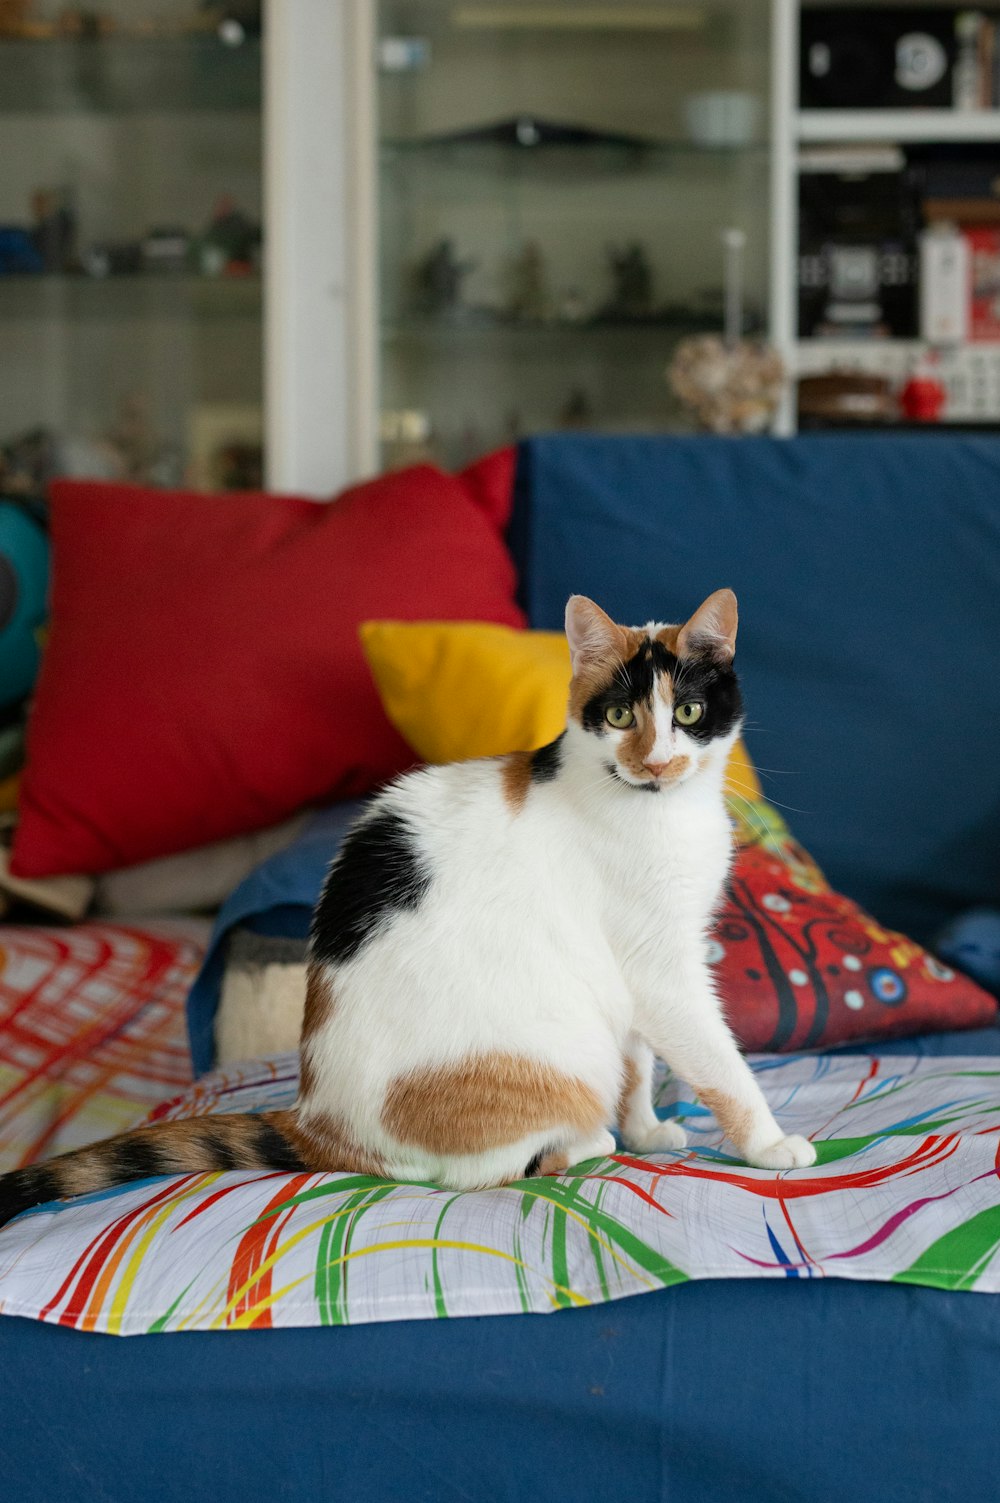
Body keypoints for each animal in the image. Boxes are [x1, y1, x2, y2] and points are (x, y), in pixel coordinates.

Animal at [0, 589, 812, 1232]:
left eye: (689, 712)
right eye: (617, 715)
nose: (656, 761)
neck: (656, 808)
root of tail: (322, 1121)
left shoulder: (646, 962)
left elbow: (640, 1060)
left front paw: (647, 1127)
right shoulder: (660, 970)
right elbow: (718, 1063)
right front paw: (768, 1144)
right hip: (552, 1057)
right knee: (474, 1171)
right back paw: (584, 1142)